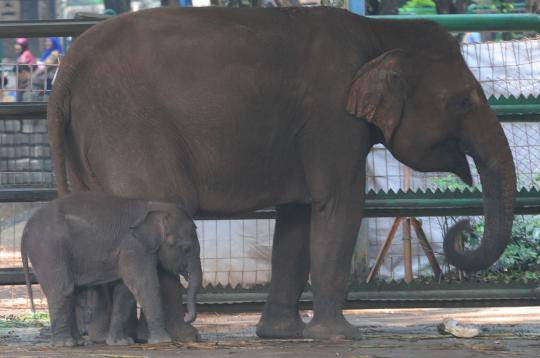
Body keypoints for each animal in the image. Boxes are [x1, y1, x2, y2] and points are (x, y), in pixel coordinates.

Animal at [20, 193, 202, 346]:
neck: (154, 206)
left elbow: (125, 291)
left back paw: (77, 342)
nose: (187, 317)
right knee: (63, 289)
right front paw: (162, 341)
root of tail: (26, 228)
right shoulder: (133, 247)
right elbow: (144, 285)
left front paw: (121, 342)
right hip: (49, 248)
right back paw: (65, 344)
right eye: (186, 249)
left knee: (71, 291)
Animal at [48, 7, 516, 340]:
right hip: (128, 126)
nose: (463, 228)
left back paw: (111, 339)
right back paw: (179, 337)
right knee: (162, 213)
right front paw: (341, 337)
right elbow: (340, 204)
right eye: (463, 102)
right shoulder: (331, 118)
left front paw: (280, 335)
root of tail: (69, 65)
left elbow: (298, 217)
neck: (380, 34)